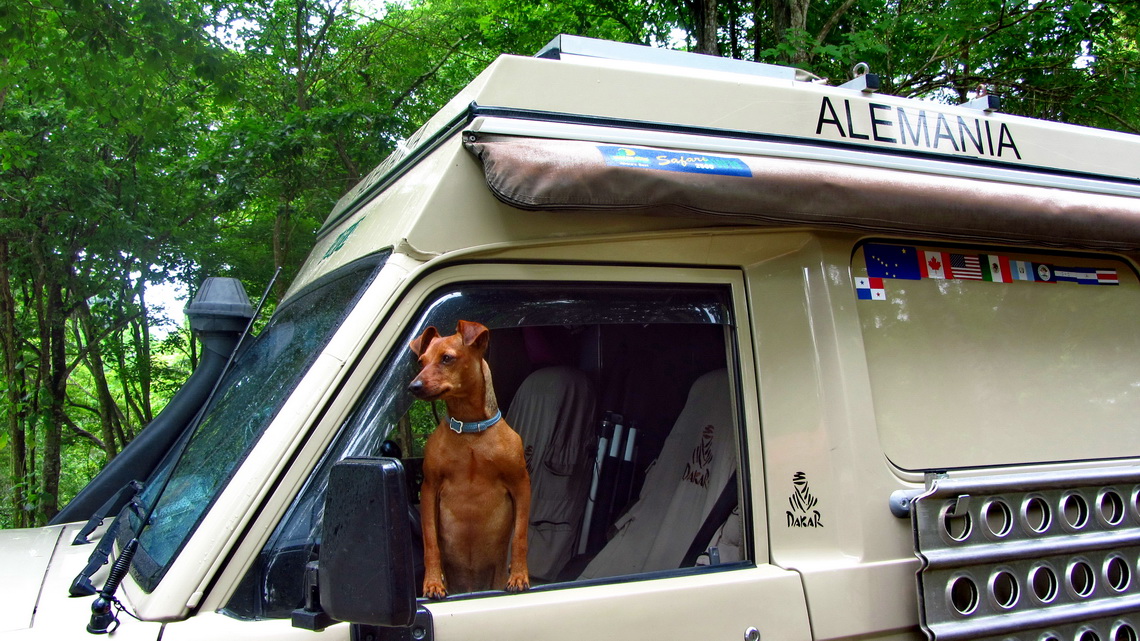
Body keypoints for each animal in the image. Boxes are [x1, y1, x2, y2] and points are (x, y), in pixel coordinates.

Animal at [408, 319, 531, 597]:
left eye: (447, 358)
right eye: (421, 361)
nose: (413, 387)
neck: (470, 431)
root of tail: (473, 588)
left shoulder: (521, 484)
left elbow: (520, 536)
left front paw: (519, 575)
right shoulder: (429, 488)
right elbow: (430, 543)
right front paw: (432, 582)